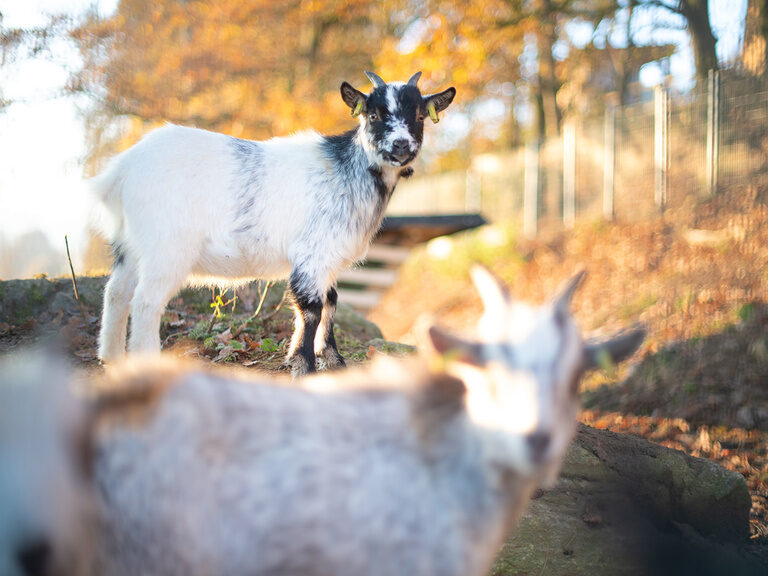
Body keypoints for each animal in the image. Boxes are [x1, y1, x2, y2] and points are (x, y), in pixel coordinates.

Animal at [93, 71, 456, 376]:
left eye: (420, 116)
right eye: (373, 114)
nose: (401, 145)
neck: (348, 171)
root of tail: (124, 167)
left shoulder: (325, 257)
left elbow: (331, 303)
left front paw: (332, 359)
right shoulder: (312, 254)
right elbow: (312, 309)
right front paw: (304, 364)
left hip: (130, 245)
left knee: (116, 293)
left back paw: (111, 358)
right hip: (166, 247)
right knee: (145, 301)